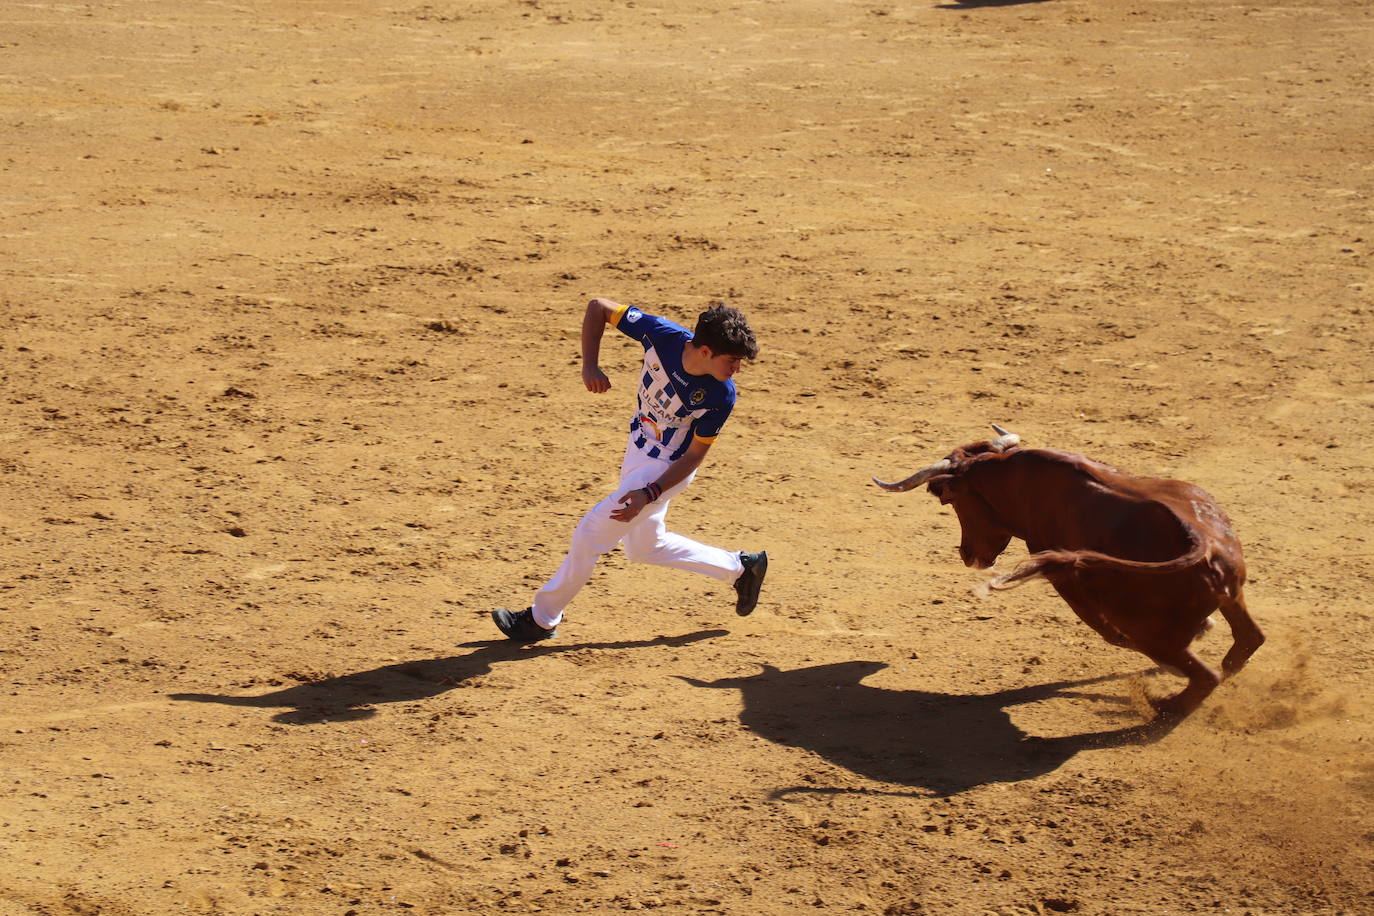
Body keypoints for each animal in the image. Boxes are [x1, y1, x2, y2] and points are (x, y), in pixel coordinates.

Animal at [879, 425, 1264, 719]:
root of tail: (1203, 542)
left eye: (951, 500)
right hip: (1232, 596)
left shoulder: (1061, 576)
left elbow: (1109, 632)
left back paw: (1164, 704)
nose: (968, 555)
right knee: (1248, 641)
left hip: (1149, 630)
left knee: (1203, 674)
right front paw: (1203, 629)